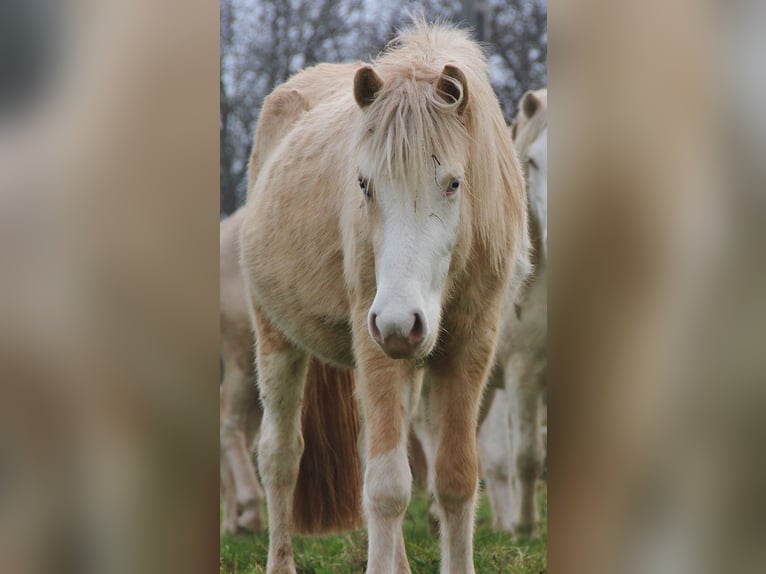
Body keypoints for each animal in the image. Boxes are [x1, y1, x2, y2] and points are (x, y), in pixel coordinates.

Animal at [243, 20, 532, 574]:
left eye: (454, 183)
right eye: (365, 184)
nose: (400, 323)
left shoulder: (471, 347)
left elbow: (456, 479)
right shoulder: (373, 341)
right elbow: (386, 488)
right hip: (278, 341)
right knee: (280, 456)